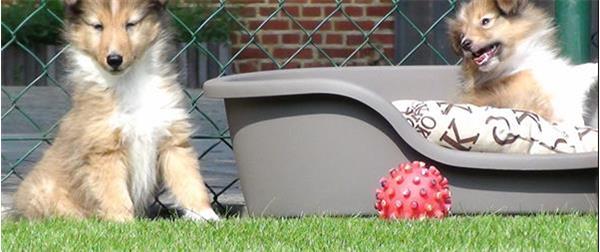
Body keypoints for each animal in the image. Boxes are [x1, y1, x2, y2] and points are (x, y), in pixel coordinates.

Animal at [14, 0, 219, 221]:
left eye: (130, 24)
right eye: (98, 26)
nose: (114, 59)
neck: (130, 81)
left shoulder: (172, 139)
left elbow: (190, 183)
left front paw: (207, 216)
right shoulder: (104, 149)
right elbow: (115, 194)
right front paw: (123, 223)